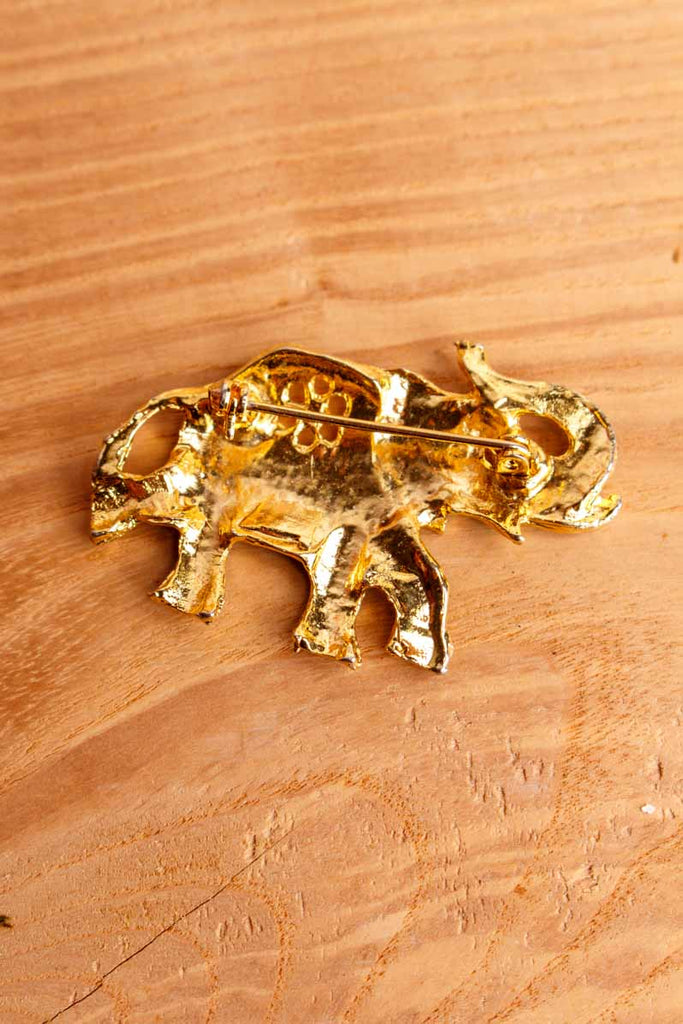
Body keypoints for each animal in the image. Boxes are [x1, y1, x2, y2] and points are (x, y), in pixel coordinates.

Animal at [91, 343, 620, 672]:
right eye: (512, 464)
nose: (470, 347)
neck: (427, 411)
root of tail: (204, 399)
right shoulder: (358, 504)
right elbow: (341, 566)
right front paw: (330, 652)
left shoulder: (389, 511)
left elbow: (423, 574)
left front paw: (421, 657)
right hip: (210, 481)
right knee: (182, 516)